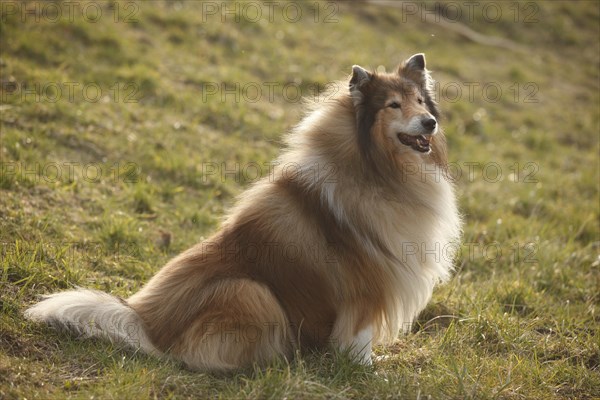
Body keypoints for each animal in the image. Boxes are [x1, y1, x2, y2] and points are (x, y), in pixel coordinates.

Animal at [25, 54, 462, 372]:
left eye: (420, 101)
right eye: (393, 105)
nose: (430, 122)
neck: (377, 168)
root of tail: (146, 324)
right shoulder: (368, 280)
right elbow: (360, 336)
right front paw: (368, 371)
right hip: (249, 290)